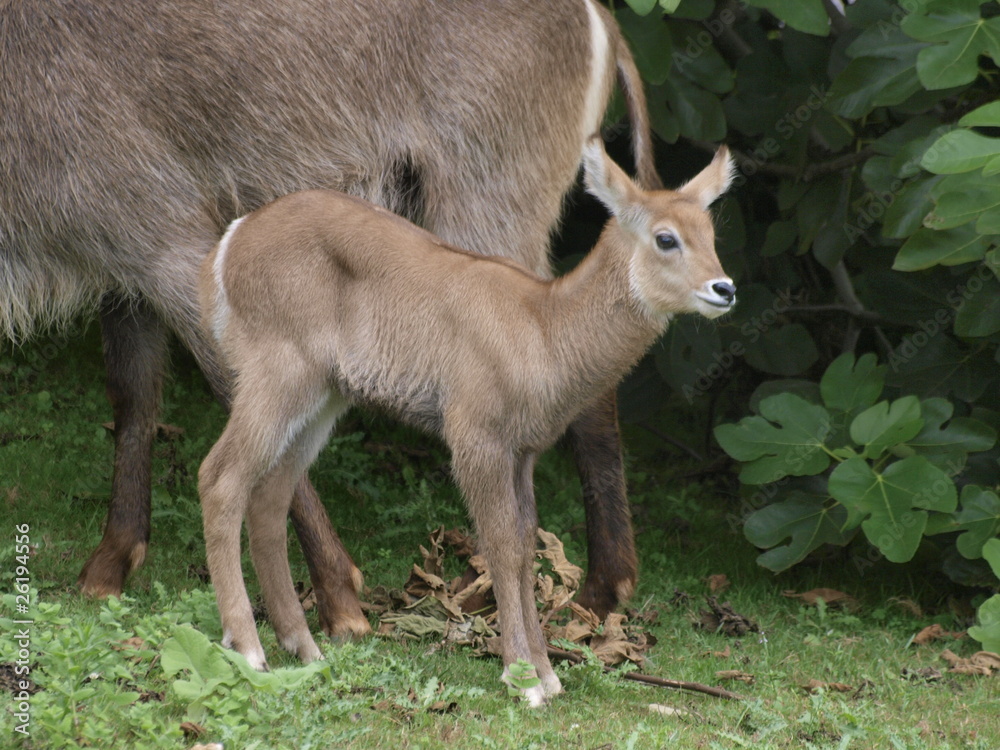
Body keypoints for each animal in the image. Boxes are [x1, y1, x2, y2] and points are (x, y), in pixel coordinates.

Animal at [2, 0, 659, 629]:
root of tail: (600, 16)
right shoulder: (123, 266)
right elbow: (132, 395)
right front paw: (111, 562)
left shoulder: (171, 236)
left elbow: (231, 389)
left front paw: (339, 596)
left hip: (486, 212)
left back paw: (594, 592)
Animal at [197, 139, 736, 705]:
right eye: (665, 237)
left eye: (711, 234)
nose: (724, 288)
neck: (544, 332)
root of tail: (226, 248)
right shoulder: (474, 434)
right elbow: (498, 543)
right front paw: (523, 678)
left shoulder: (524, 451)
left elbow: (524, 543)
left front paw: (547, 674)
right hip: (277, 371)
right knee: (220, 477)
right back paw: (248, 648)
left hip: (323, 395)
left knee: (270, 493)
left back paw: (303, 645)